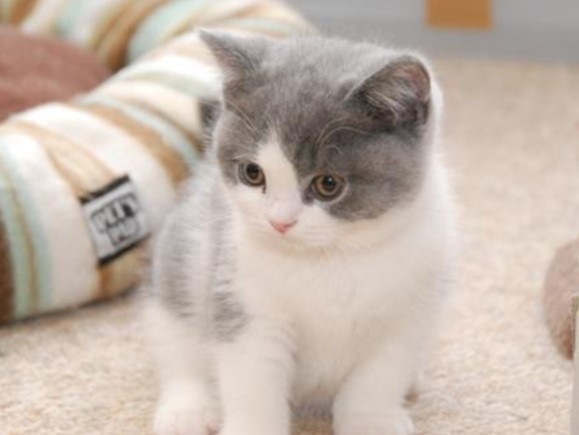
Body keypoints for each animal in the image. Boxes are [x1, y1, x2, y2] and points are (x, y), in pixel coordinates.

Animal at [146, 31, 458, 435]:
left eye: (328, 184)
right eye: (252, 173)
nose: (279, 221)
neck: (329, 259)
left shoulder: (410, 310)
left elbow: (379, 376)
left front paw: (372, 420)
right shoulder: (243, 299)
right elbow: (252, 379)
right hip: (180, 261)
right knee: (178, 348)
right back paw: (188, 409)